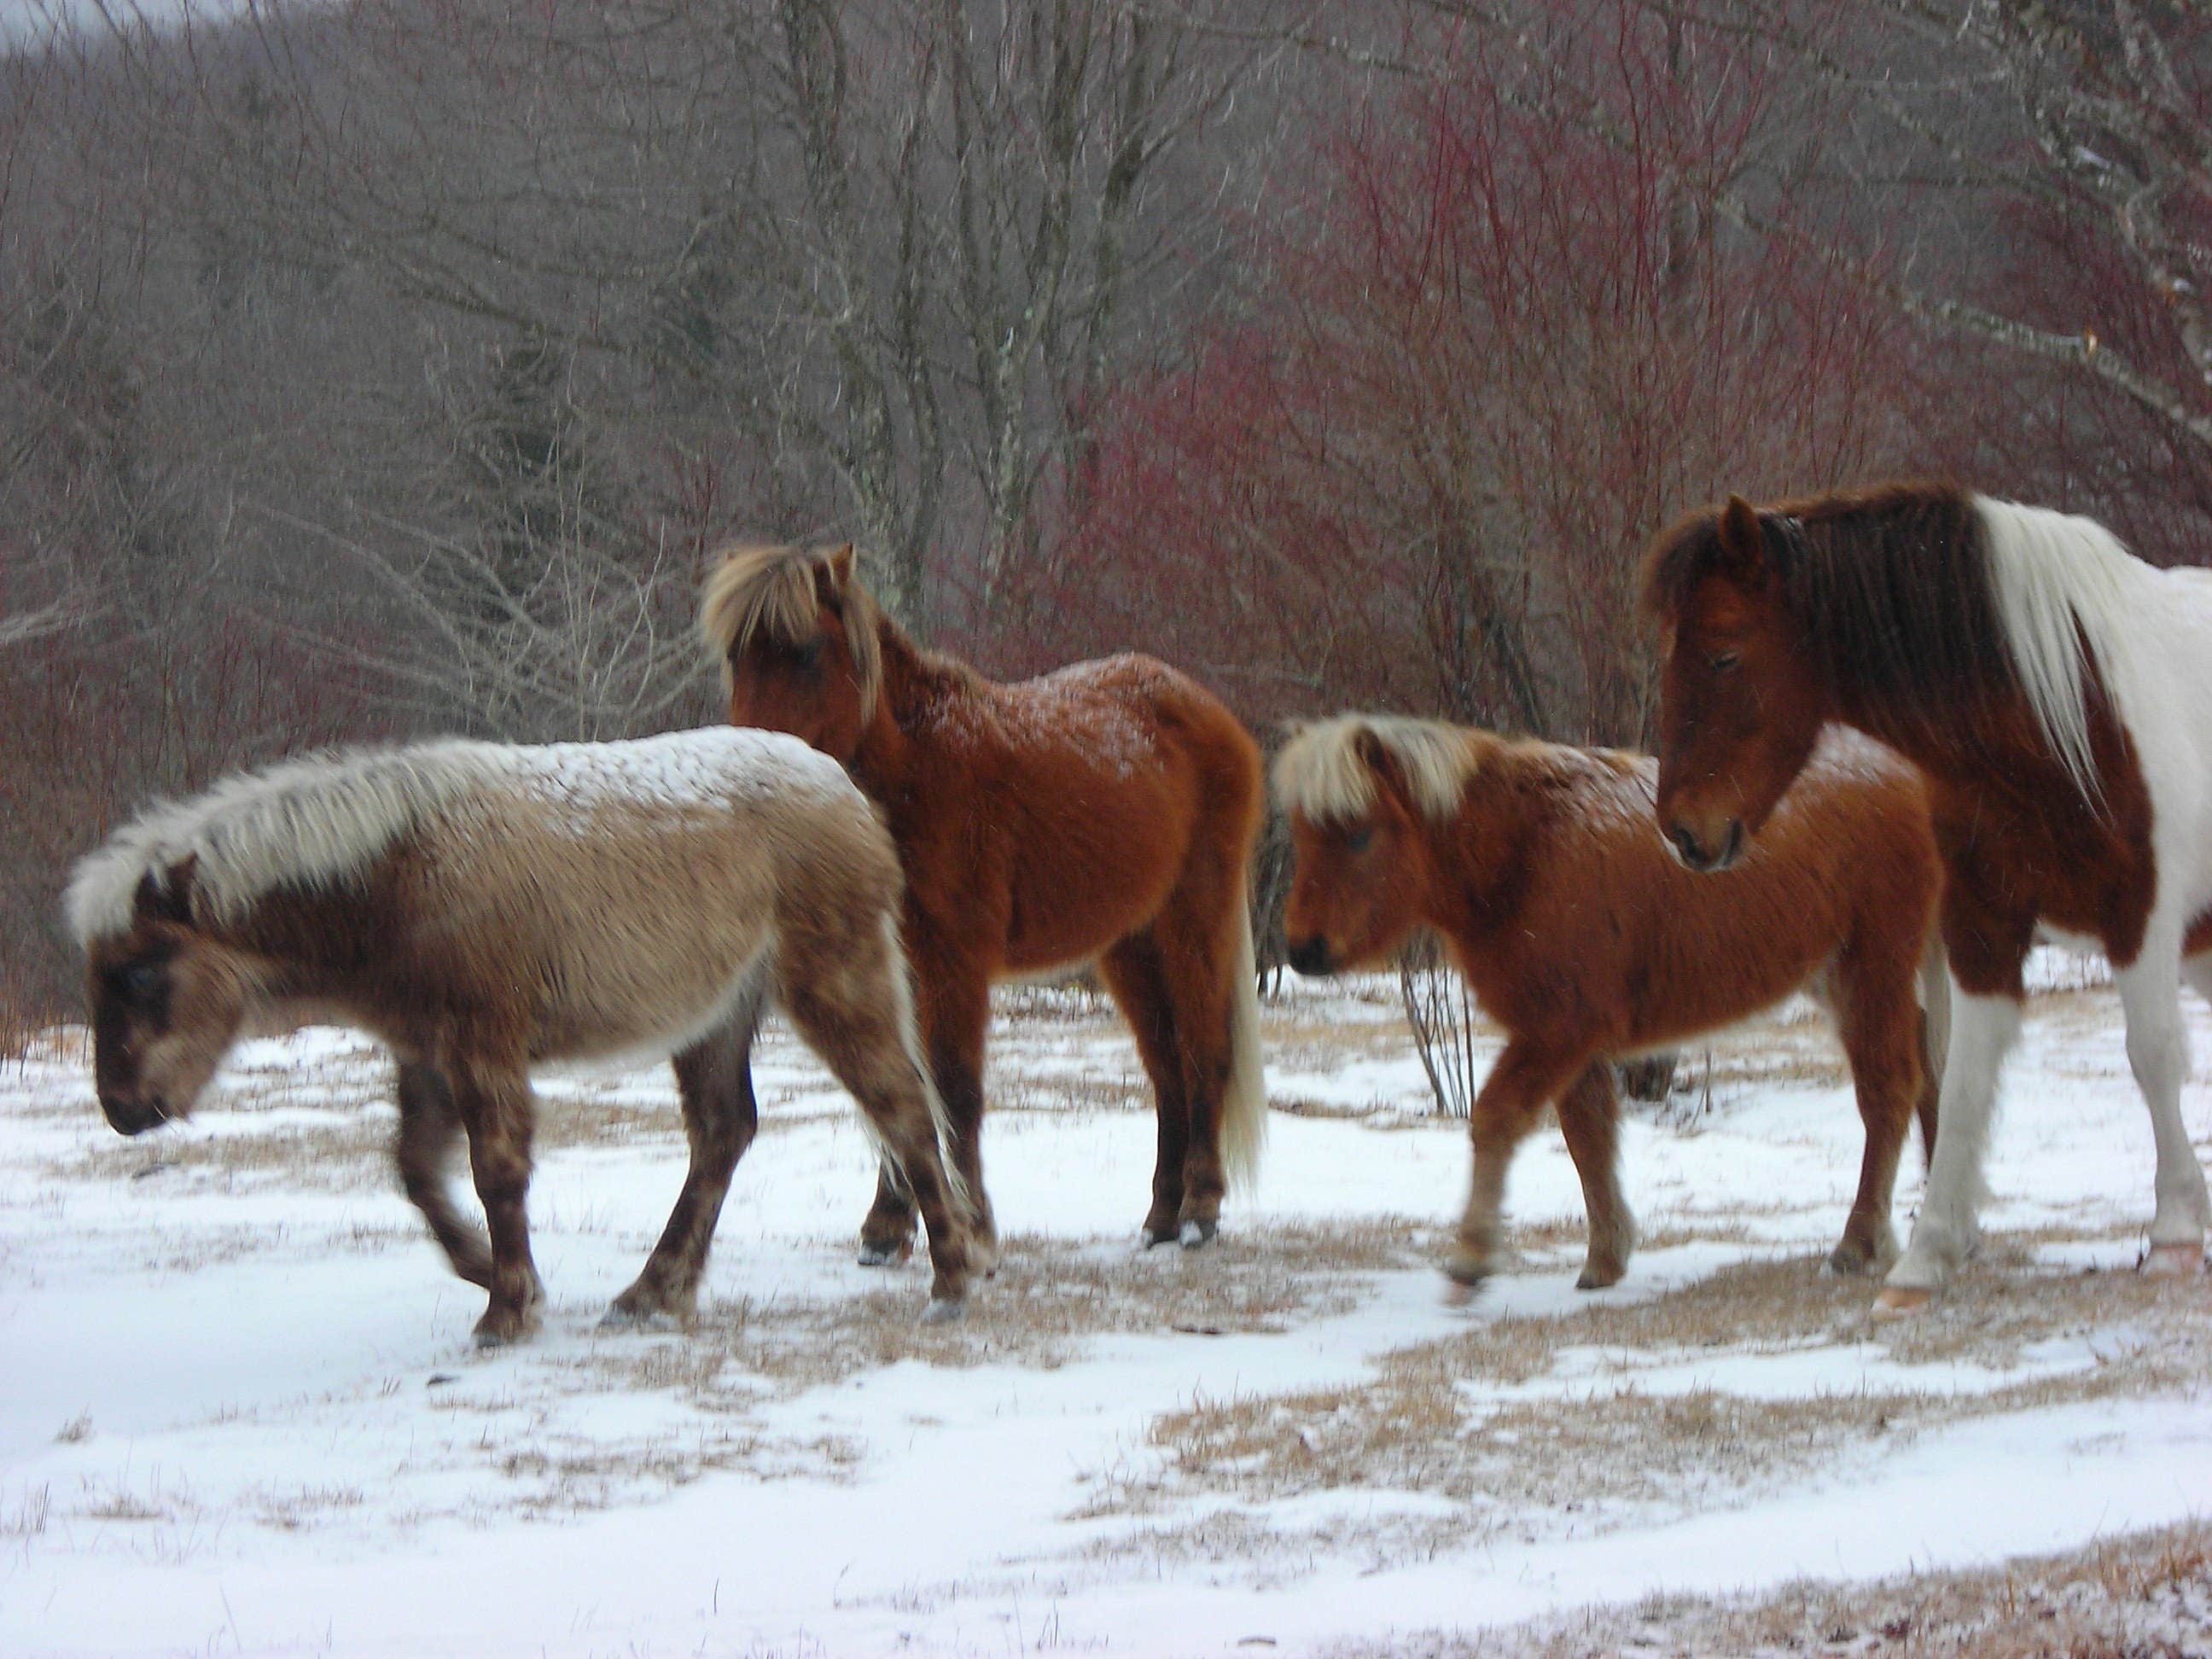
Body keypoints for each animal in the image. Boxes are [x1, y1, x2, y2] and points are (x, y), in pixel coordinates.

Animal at [67, 726, 973, 1345]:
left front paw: (507, 1308)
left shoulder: (483, 1047)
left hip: (833, 985)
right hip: (715, 1018)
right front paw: (488, 1272)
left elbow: (496, 1173)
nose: (122, 1108)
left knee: (902, 1109)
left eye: (140, 975)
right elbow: (417, 1173)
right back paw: (653, 1293)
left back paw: (955, 1279)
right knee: (724, 1135)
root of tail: (846, 792)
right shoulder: (428, 1054)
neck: (400, 875)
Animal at [700, 543, 1267, 1260]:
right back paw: (1161, 1217)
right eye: (735, 655)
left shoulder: (955, 964)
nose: (747, 767)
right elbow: (903, 1091)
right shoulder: (898, 968)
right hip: (1130, 946)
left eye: (804, 652)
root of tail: (1208, 711)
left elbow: (955, 1089)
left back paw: (1199, 1210)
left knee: (1203, 1053)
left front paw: (972, 1227)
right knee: (1166, 1068)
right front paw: (888, 1226)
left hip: (1193, 920)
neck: (917, 771)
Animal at [1275, 715, 1946, 1296]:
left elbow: (1497, 1119)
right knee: (1929, 1077)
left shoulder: (1558, 1033)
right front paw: (1606, 1256)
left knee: (1889, 1091)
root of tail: (1908, 770)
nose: (1304, 950)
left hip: (1872, 973)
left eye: (1360, 833)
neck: (1527, 847)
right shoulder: (1572, 1043)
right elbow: (1589, 1140)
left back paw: (1860, 1242)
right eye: (1303, 836)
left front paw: (1473, 1254)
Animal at [1644, 483, 2212, 1315]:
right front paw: (1927, 1256)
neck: (2071, 709)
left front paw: (2173, 1232)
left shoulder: (2138, 916)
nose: (1686, 832)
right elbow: (1963, 1080)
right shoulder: (1981, 930)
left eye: (1723, 652)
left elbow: (2153, 1055)